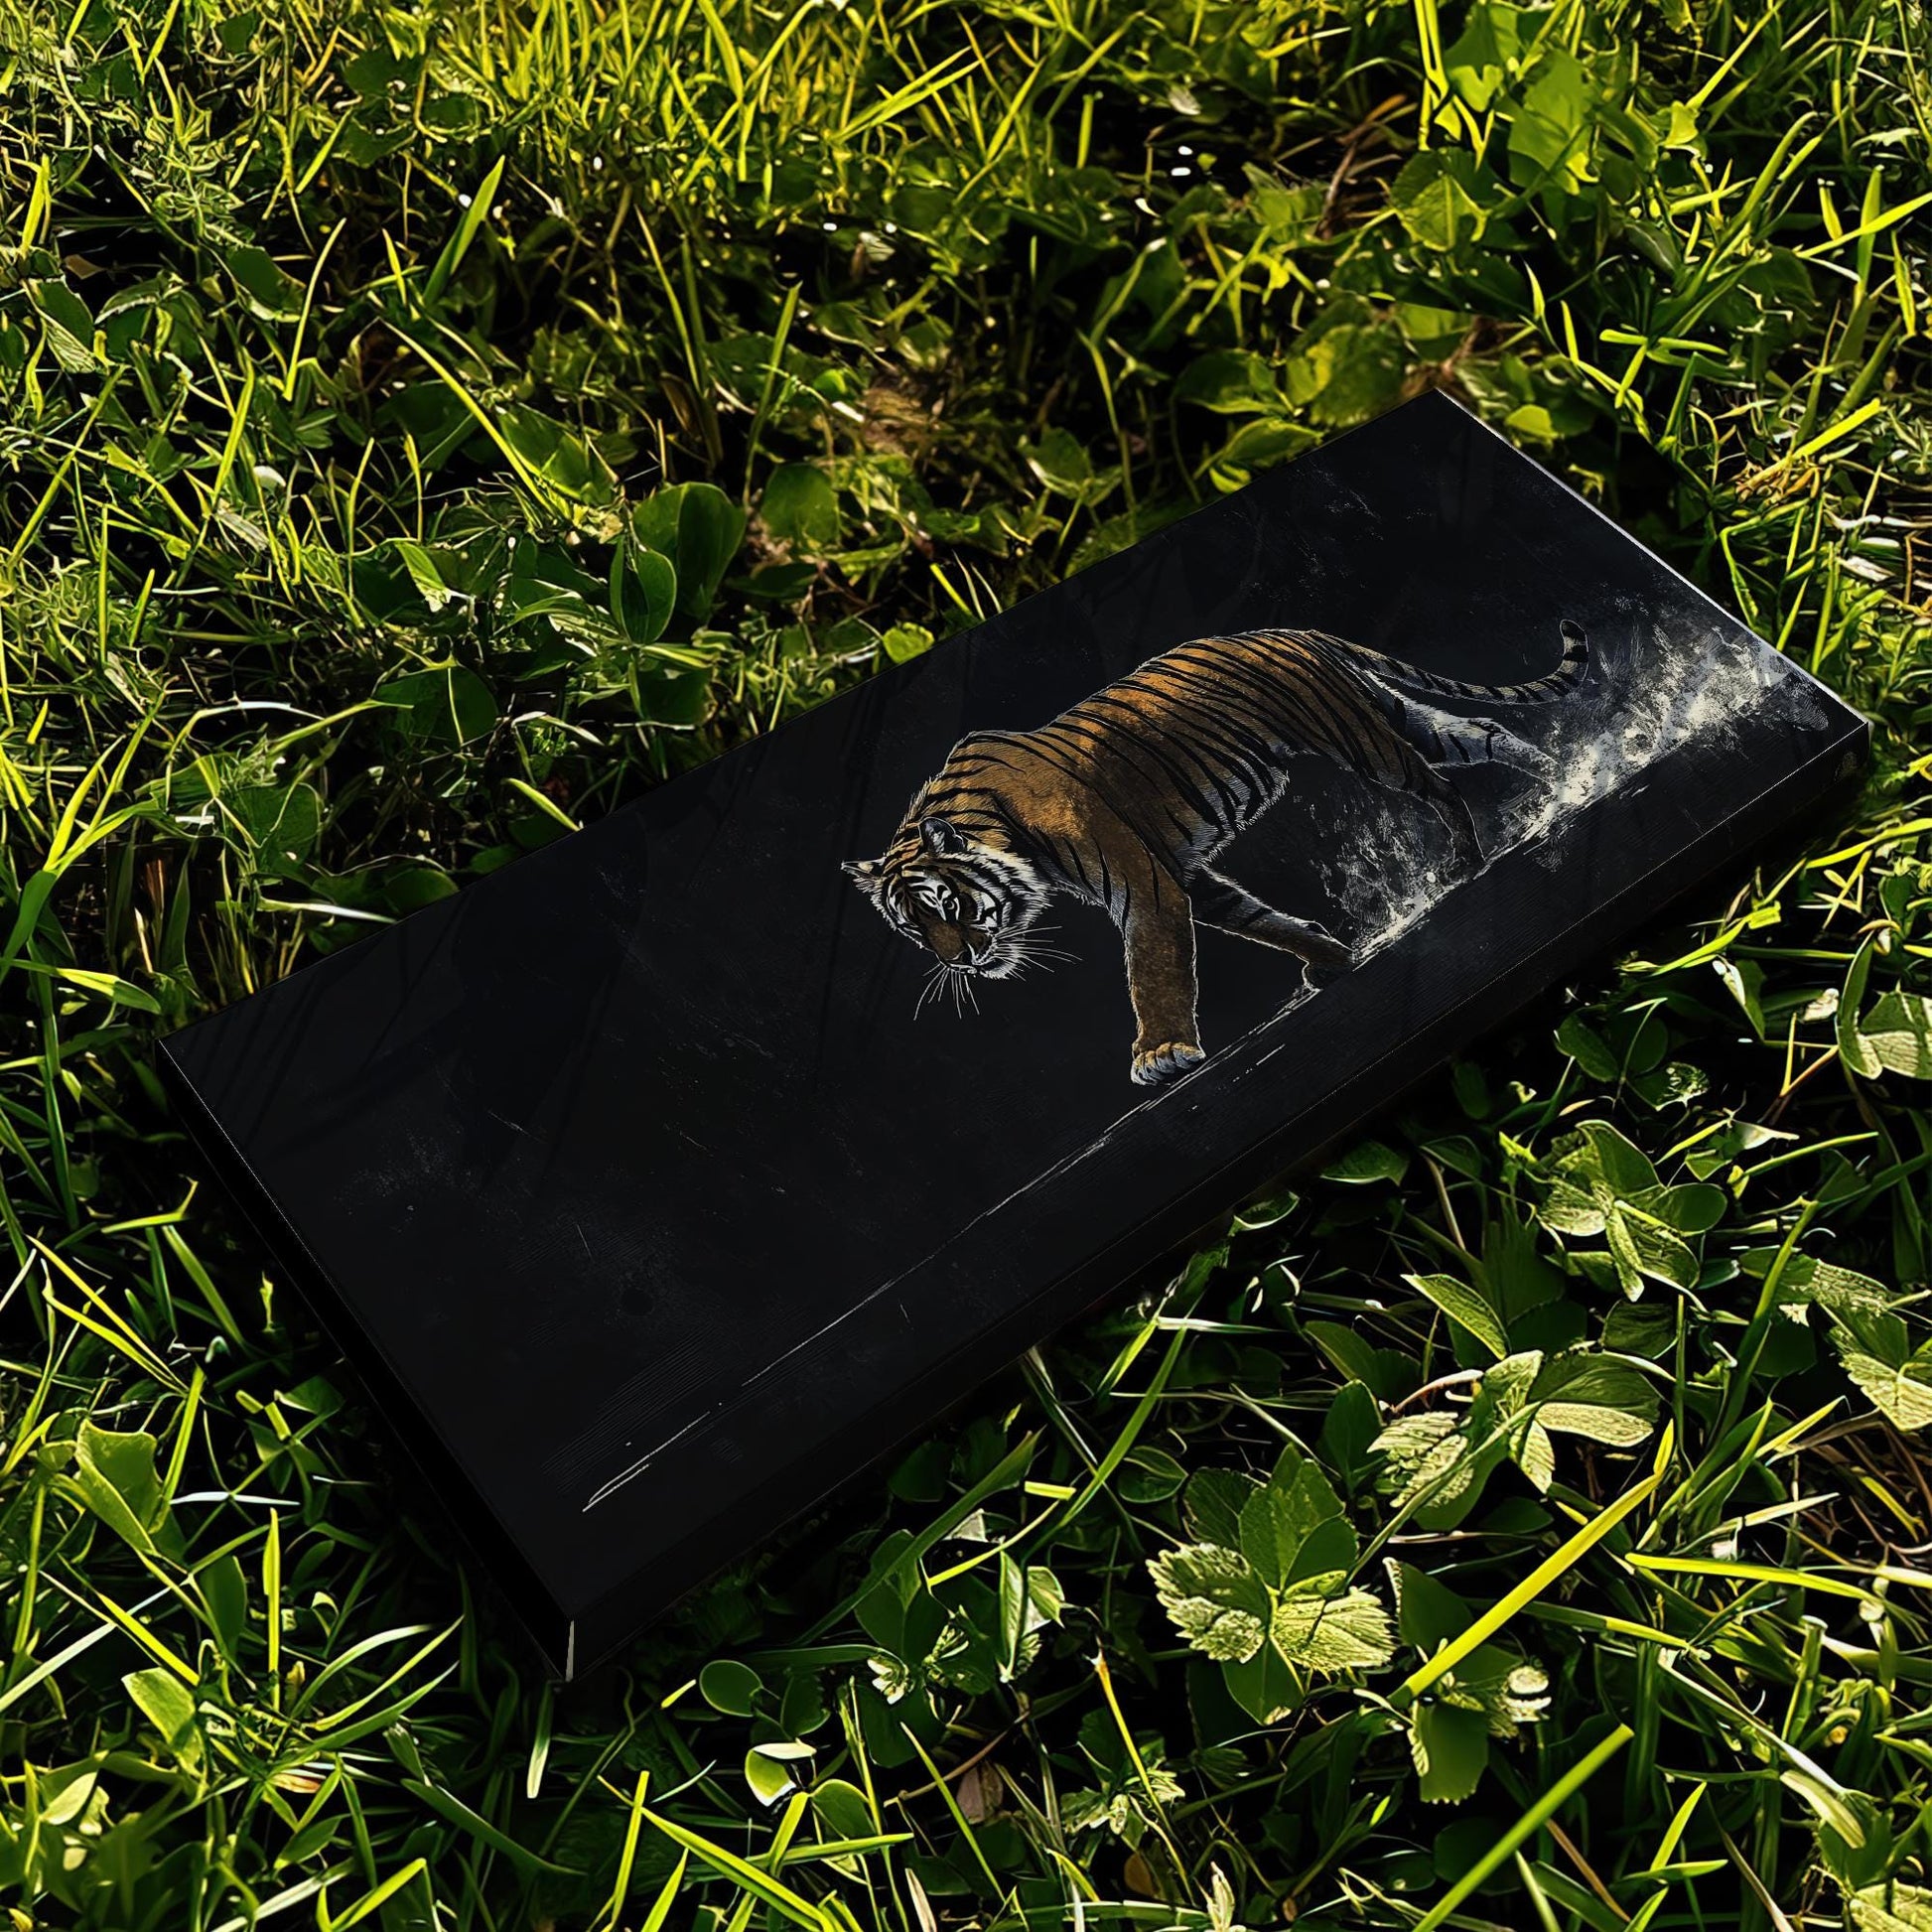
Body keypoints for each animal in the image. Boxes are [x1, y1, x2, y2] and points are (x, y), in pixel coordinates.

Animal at [844, 618, 1590, 1088]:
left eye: (948, 904)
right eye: (912, 928)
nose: (959, 962)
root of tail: (1287, 630)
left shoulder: (1143, 886)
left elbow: (1153, 970)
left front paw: (1161, 1054)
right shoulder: (1185, 874)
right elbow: (1255, 919)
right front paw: (1329, 959)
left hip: (1360, 739)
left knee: (1440, 784)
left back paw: (1468, 859)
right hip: (1391, 713)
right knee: (1481, 728)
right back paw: (1562, 776)